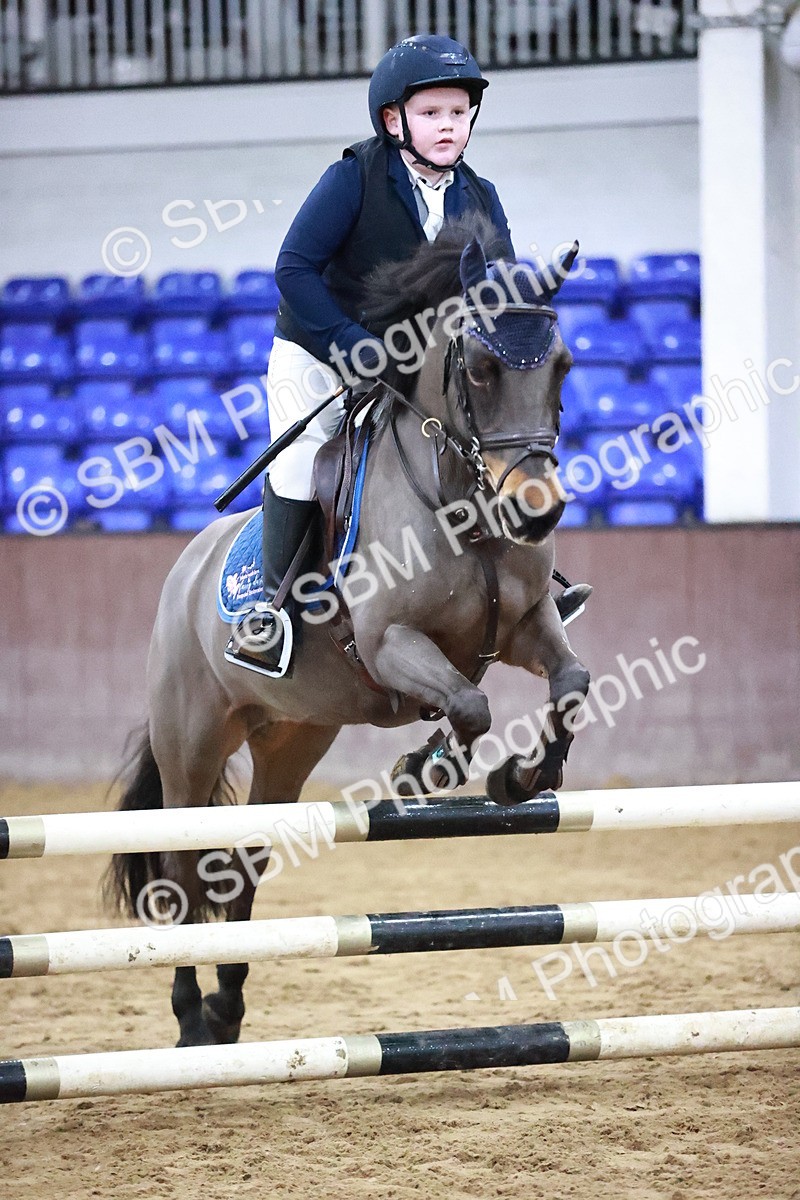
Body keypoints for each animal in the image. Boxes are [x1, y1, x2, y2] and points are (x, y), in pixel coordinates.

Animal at [105, 218, 591, 1048]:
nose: (536, 510)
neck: (461, 505)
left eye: (561, 365)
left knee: (243, 861)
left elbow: (570, 684)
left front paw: (522, 778)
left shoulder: (527, 627)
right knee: (178, 866)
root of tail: (189, 567)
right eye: (483, 368)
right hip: (191, 744)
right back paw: (192, 1017)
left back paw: (227, 1006)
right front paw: (428, 768)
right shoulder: (393, 643)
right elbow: (470, 705)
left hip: (290, 740)